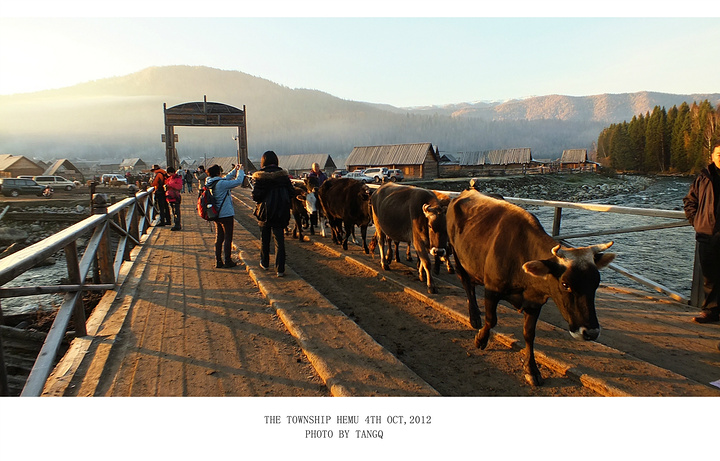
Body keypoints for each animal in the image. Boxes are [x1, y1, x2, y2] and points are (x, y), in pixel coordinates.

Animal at [448, 189, 616, 386]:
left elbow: (529, 334)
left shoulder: (535, 302)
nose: (591, 332)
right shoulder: (492, 289)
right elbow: (491, 320)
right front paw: (481, 340)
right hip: (458, 257)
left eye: (596, 284)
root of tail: (468, 190)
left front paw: (531, 369)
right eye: (565, 284)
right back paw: (474, 316)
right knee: (467, 285)